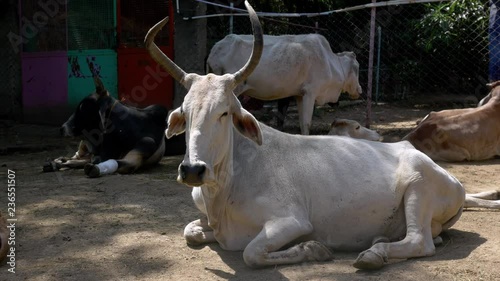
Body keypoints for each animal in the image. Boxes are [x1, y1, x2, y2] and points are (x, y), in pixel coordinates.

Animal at [205, 32, 362, 135]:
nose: (359, 90)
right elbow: (307, 123)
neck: (330, 62)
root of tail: (215, 50)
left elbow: (300, 123)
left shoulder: (300, 95)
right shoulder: (310, 93)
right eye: (357, 67)